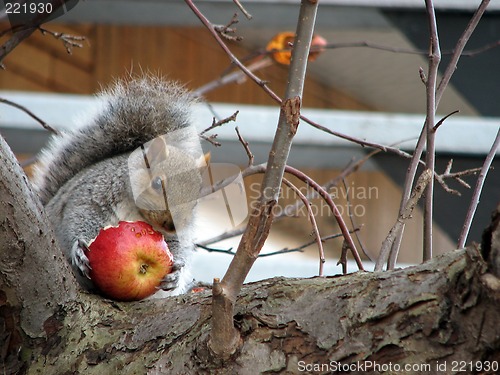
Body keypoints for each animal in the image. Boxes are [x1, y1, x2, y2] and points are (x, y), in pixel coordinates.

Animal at [31, 76, 205, 298]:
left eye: (196, 200)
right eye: (157, 183)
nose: (173, 225)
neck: (136, 210)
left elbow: (177, 245)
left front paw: (176, 272)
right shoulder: (93, 193)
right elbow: (79, 216)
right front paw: (79, 249)